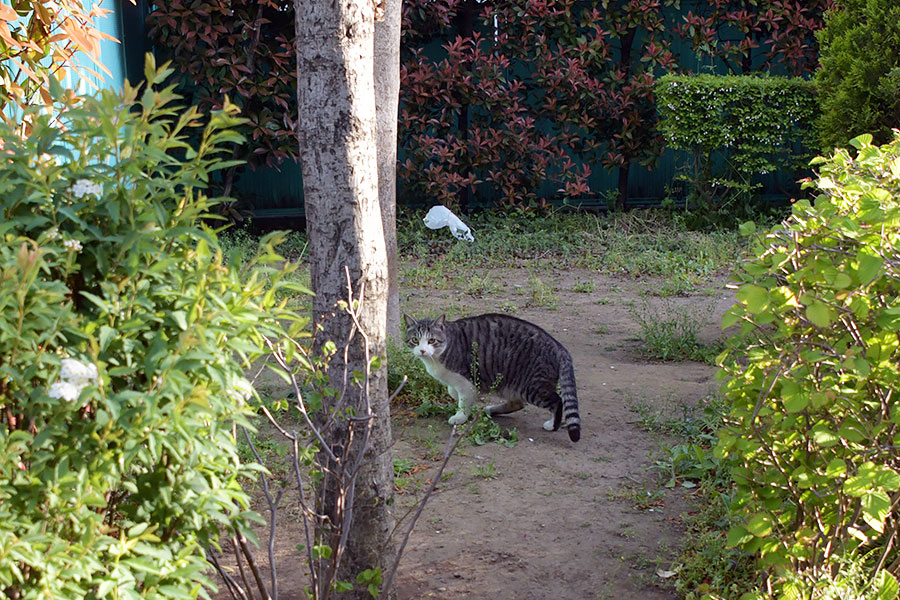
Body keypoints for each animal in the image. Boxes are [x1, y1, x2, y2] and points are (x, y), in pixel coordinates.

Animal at [402, 314, 584, 440]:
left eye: (431, 340)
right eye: (415, 340)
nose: (422, 350)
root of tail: (559, 347)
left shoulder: (467, 380)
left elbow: (464, 400)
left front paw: (460, 416)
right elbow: (453, 391)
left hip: (533, 387)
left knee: (557, 400)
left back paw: (552, 425)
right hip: (511, 384)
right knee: (518, 403)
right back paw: (490, 410)